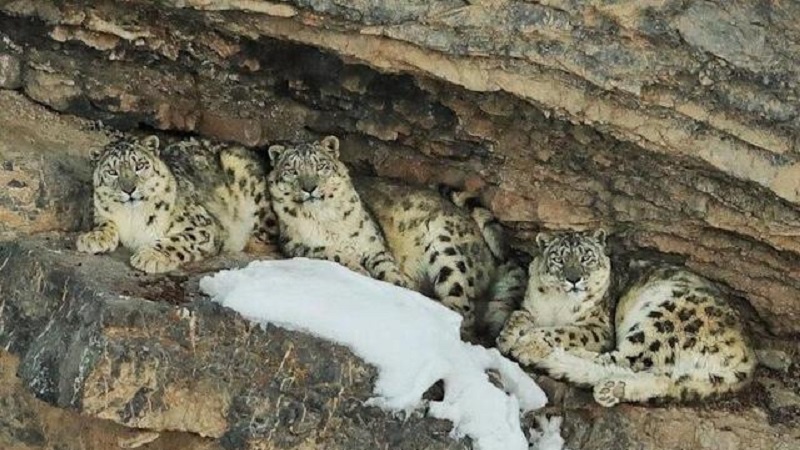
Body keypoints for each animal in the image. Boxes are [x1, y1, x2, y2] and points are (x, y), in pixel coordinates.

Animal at [76, 135, 276, 273]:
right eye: (112, 171)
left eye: (140, 165)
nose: (129, 189)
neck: (133, 217)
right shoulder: (101, 212)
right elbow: (104, 222)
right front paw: (93, 238)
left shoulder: (203, 225)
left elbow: (178, 240)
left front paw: (148, 256)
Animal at [267, 135, 523, 334]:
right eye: (292, 171)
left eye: (321, 166)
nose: (309, 187)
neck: (327, 220)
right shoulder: (300, 246)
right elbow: (334, 254)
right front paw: (359, 269)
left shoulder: (373, 244)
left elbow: (386, 266)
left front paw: (398, 282)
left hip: (446, 246)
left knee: (463, 309)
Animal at [497, 229, 756, 406]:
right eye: (559, 258)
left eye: (586, 257)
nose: (573, 278)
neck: (556, 303)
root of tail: (748, 356)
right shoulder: (530, 307)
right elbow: (517, 315)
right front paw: (506, 337)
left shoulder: (598, 327)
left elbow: (563, 331)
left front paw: (527, 342)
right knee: (661, 376)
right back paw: (612, 389)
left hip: (662, 320)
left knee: (621, 359)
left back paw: (549, 357)